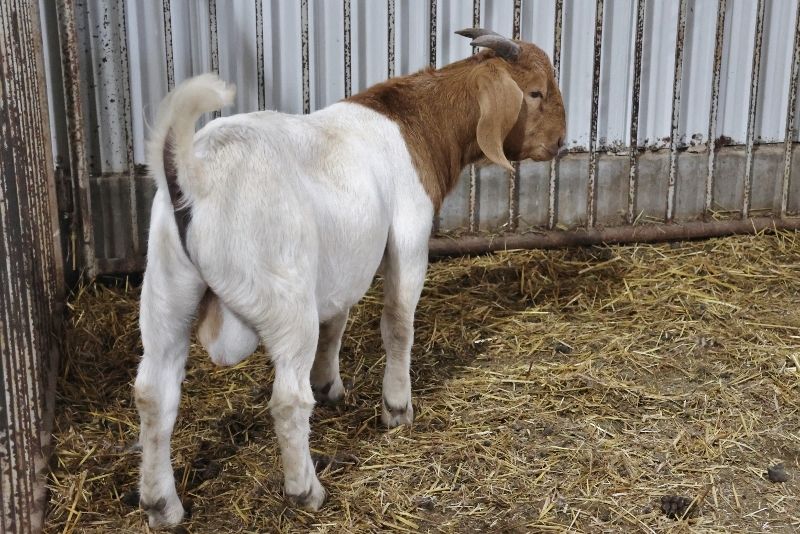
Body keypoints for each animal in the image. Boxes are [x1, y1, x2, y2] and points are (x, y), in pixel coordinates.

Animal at [134, 30, 564, 532]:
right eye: (534, 92)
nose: (560, 142)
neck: (414, 124)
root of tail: (196, 173)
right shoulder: (409, 234)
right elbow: (398, 324)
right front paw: (396, 408)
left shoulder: (340, 265)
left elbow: (335, 321)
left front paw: (330, 386)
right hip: (283, 296)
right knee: (287, 398)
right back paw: (306, 490)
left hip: (166, 287)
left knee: (154, 393)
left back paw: (162, 505)